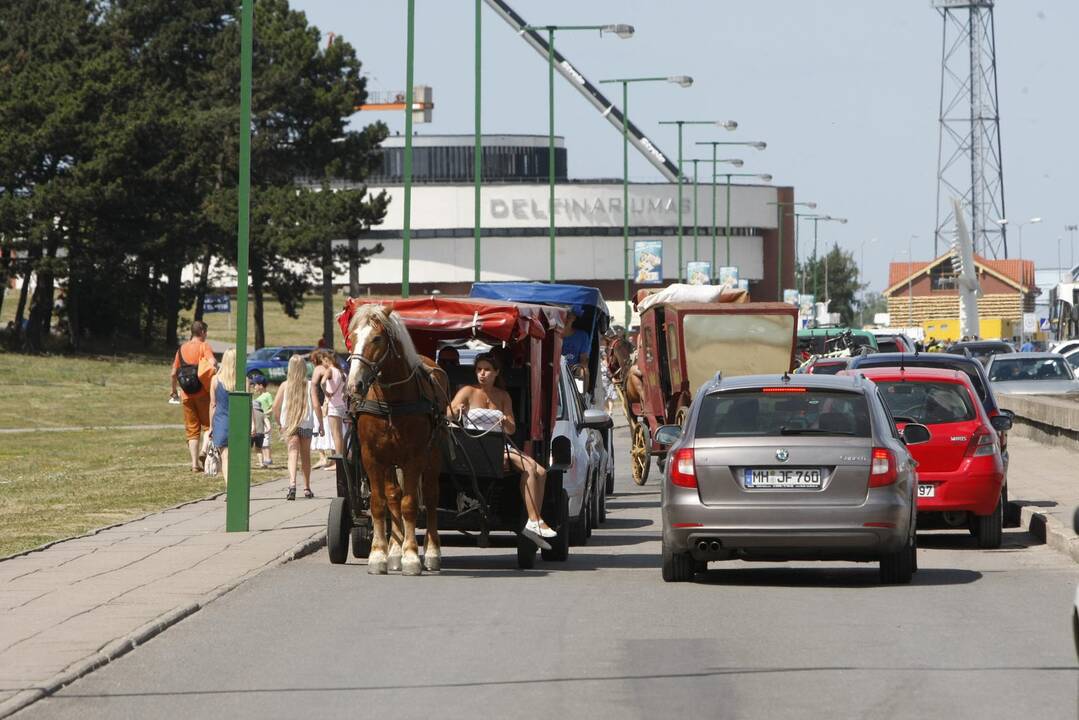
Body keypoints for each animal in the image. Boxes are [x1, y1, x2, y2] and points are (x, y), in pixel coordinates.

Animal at [345, 302, 446, 574]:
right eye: (352, 338)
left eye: (377, 338)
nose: (354, 385)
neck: (391, 402)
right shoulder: (372, 458)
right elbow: (379, 504)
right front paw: (380, 553)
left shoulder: (414, 458)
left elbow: (410, 504)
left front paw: (411, 556)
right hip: (390, 462)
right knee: (392, 497)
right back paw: (394, 549)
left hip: (433, 456)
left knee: (430, 497)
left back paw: (431, 551)